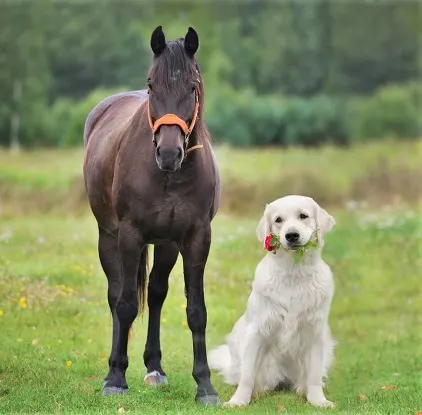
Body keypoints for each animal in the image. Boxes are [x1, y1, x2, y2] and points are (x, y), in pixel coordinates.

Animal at [82, 26, 221, 406]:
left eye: (192, 86)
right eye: (150, 85)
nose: (169, 153)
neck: (171, 177)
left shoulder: (196, 239)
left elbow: (196, 311)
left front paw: (205, 386)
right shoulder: (130, 234)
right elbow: (127, 304)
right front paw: (116, 379)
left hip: (166, 244)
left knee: (157, 293)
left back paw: (154, 368)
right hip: (108, 236)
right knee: (116, 295)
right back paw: (114, 367)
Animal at [210, 196, 336, 410]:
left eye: (303, 216)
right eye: (278, 220)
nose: (291, 235)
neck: (294, 272)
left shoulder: (315, 332)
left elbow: (313, 376)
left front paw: (318, 401)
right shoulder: (257, 332)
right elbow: (247, 376)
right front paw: (238, 401)